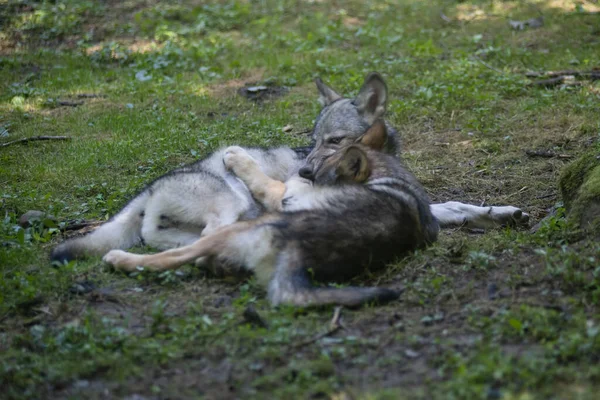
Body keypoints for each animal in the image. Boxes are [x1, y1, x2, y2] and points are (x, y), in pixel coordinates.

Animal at [52, 73, 528, 264]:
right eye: (312, 140)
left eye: (333, 141)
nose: (307, 173)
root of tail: (148, 189)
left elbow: (456, 207)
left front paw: (502, 213)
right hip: (228, 201)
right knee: (194, 233)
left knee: (160, 236)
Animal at [104, 120, 440, 308]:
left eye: (317, 172)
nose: (304, 171)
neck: (386, 176)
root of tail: (296, 258)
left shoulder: (285, 196)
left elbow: (263, 180)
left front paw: (238, 158)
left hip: (241, 220)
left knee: (174, 252)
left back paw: (121, 258)